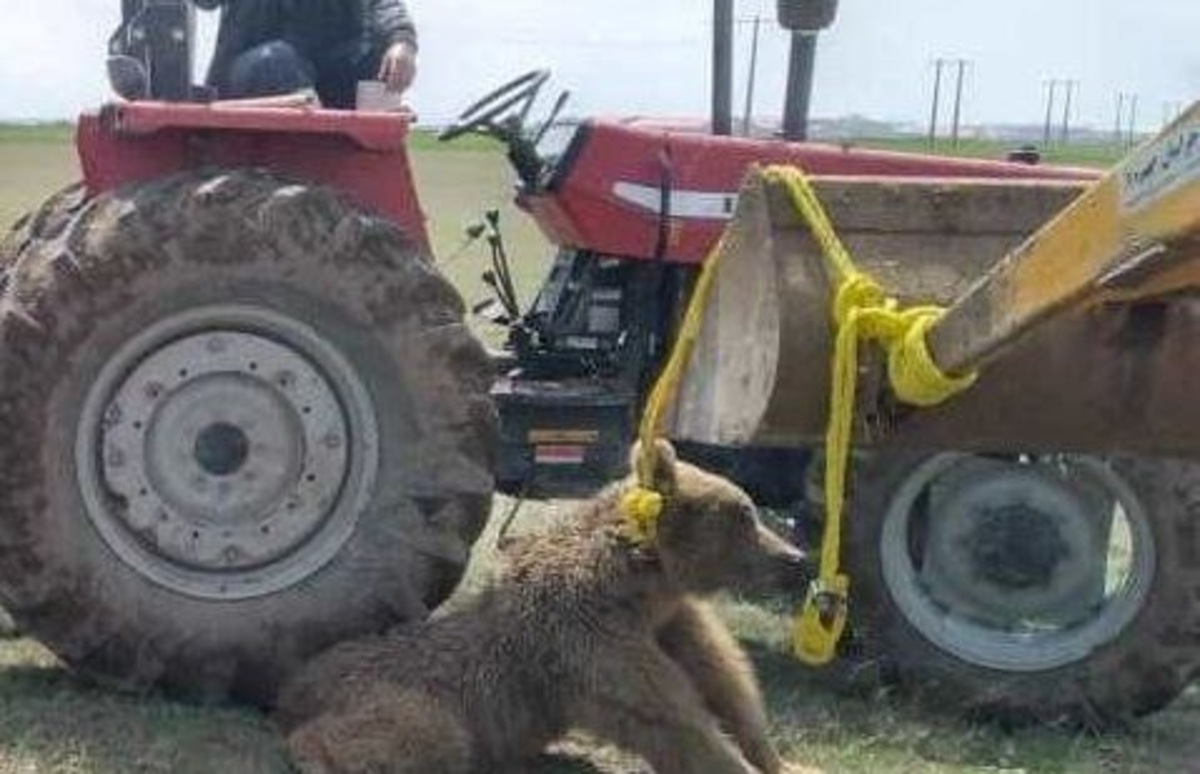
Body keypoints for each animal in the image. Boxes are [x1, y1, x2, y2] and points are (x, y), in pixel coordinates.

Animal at [274, 441, 816, 772]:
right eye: (743, 514)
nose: (798, 560)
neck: (640, 584)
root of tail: (296, 681)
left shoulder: (671, 623)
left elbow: (727, 684)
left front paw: (783, 759)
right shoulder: (590, 638)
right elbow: (674, 718)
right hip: (401, 694)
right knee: (422, 737)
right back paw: (311, 754)